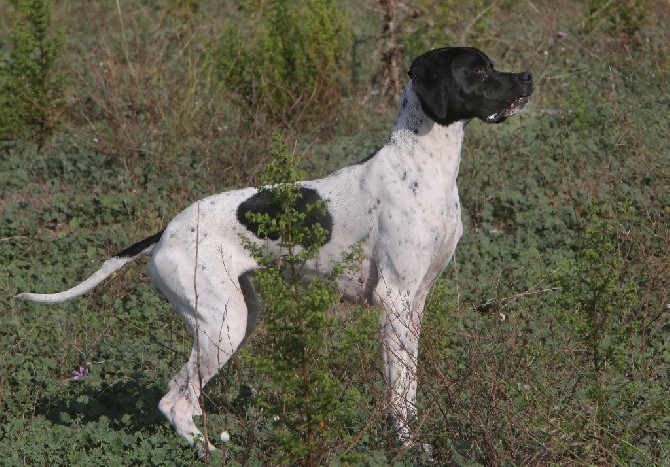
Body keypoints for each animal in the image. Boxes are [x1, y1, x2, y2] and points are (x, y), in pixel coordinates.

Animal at [15, 46, 536, 454]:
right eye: (479, 70)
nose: (529, 77)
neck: (422, 164)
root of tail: (165, 232)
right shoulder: (394, 301)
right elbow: (400, 388)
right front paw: (405, 446)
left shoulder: (417, 301)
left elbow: (409, 385)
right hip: (223, 326)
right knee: (173, 399)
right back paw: (207, 451)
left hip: (235, 319)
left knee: (189, 396)